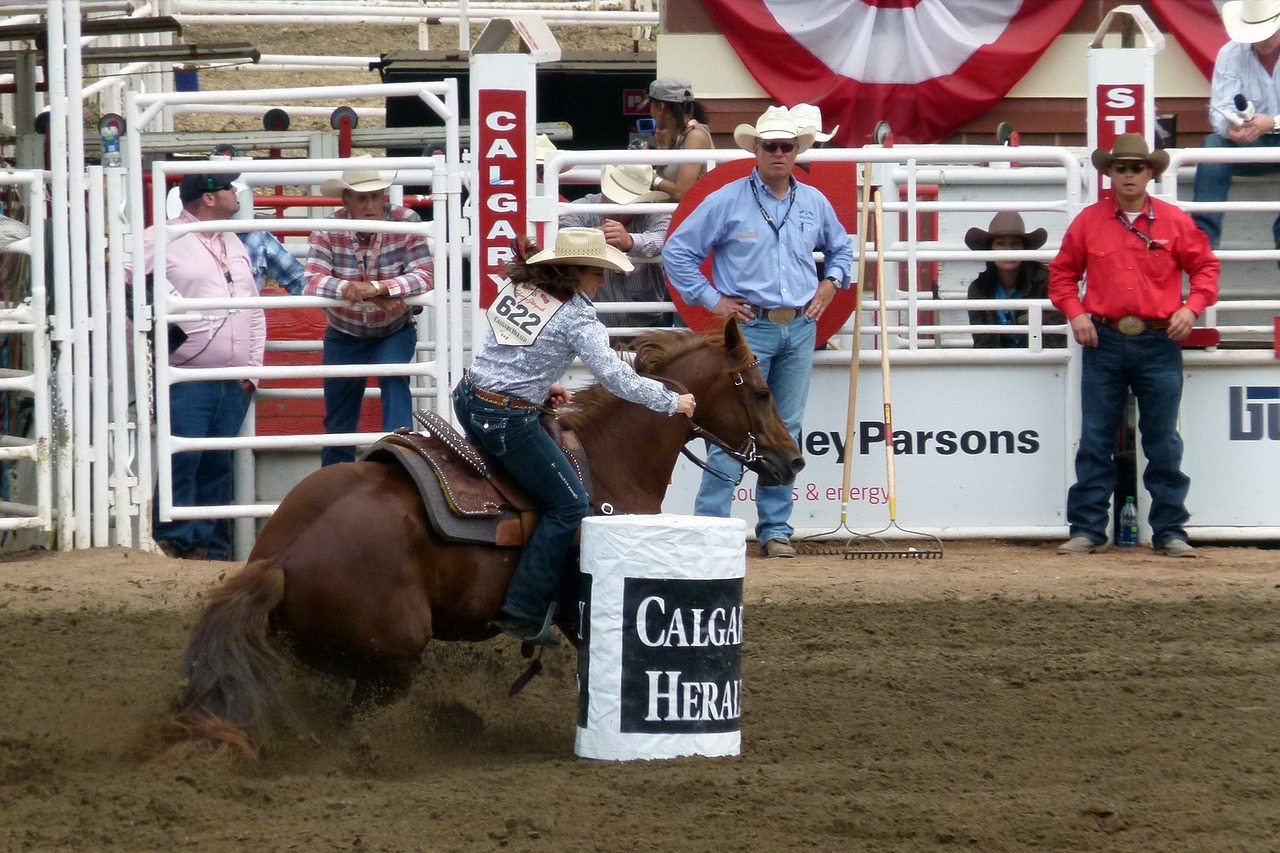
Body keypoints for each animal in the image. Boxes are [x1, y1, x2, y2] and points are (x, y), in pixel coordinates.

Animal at [162, 317, 798, 753]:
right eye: (761, 391)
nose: (792, 461)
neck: (609, 459)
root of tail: (278, 558)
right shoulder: (581, 604)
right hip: (392, 658)